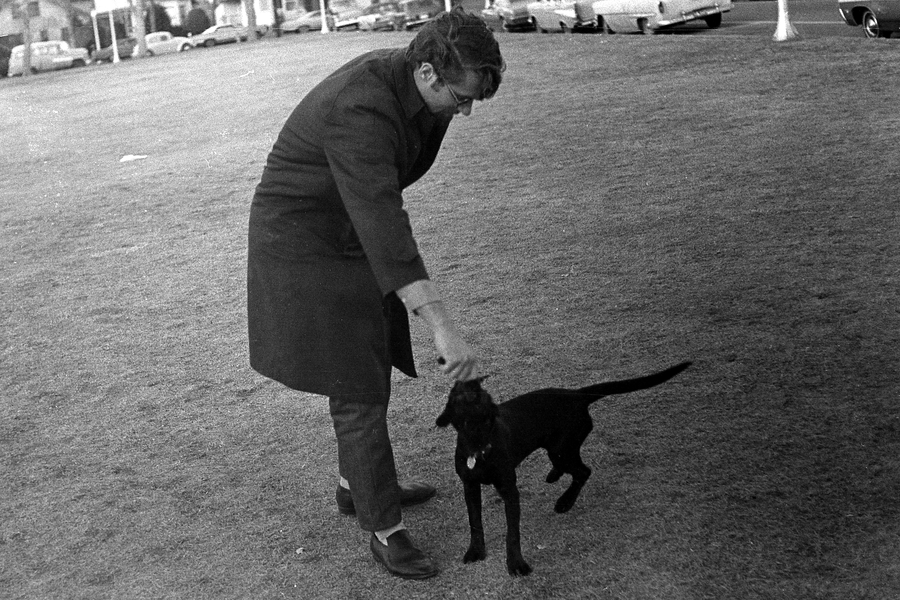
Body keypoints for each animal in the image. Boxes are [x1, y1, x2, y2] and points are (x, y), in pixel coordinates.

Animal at [435, 361, 691, 576]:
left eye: (487, 414)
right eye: (457, 399)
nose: (468, 382)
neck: (479, 447)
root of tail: (577, 395)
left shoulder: (509, 490)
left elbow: (512, 532)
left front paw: (516, 564)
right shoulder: (470, 485)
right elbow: (475, 522)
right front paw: (476, 551)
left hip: (562, 449)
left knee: (583, 471)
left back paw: (565, 502)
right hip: (558, 450)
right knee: (572, 469)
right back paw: (554, 476)